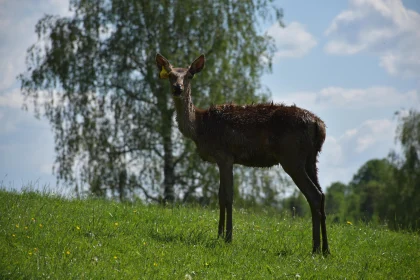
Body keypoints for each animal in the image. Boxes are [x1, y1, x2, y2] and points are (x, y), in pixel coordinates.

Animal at [156, 52, 330, 254]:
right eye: (170, 75)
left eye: (189, 75)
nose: (178, 88)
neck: (199, 128)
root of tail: (319, 125)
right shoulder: (221, 160)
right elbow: (220, 196)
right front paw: (218, 234)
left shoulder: (225, 155)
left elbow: (228, 196)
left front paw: (228, 237)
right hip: (311, 158)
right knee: (322, 194)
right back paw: (326, 249)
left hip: (291, 157)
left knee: (314, 195)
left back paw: (315, 249)